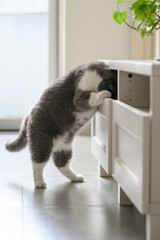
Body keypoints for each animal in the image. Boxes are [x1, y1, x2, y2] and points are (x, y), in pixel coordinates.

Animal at [5, 60, 117, 188]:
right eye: (112, 89)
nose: (114, 97)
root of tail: (28, 116)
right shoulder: (79, 95)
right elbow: (91, 97)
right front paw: (104, 94)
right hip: (42, 141)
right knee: (37, 164)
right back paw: (39, 182)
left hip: (64, 147)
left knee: (61, 164)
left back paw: (76, 178)